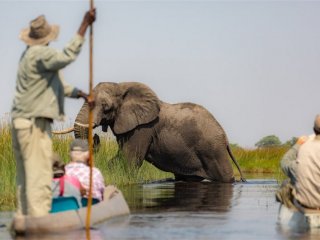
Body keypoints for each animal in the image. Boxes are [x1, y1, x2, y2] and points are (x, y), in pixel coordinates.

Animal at [55, 81, 245, 183]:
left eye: (106, 106)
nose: (95, 136)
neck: (122, 86)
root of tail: (225, 137)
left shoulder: (142, 129)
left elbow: (129, 160)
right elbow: (119, 159)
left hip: (213, 150)